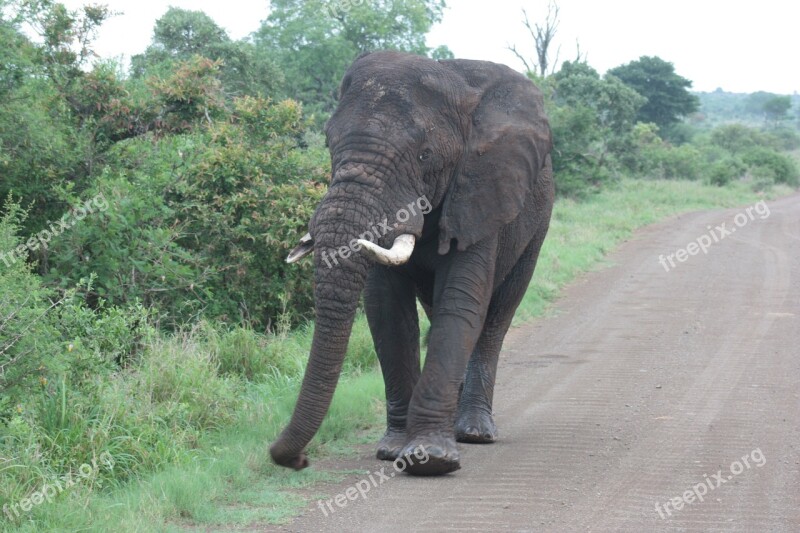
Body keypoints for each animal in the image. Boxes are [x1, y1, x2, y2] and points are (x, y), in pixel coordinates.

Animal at [272, 50, 552, 474]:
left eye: (425, 155)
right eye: (329, 143)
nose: (298, 459)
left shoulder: (479, 191)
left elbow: (461, 302)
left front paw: (430, 458)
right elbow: (387, 310)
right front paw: (393, 450)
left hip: (535, 224)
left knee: (497, 315)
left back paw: (473, 432)